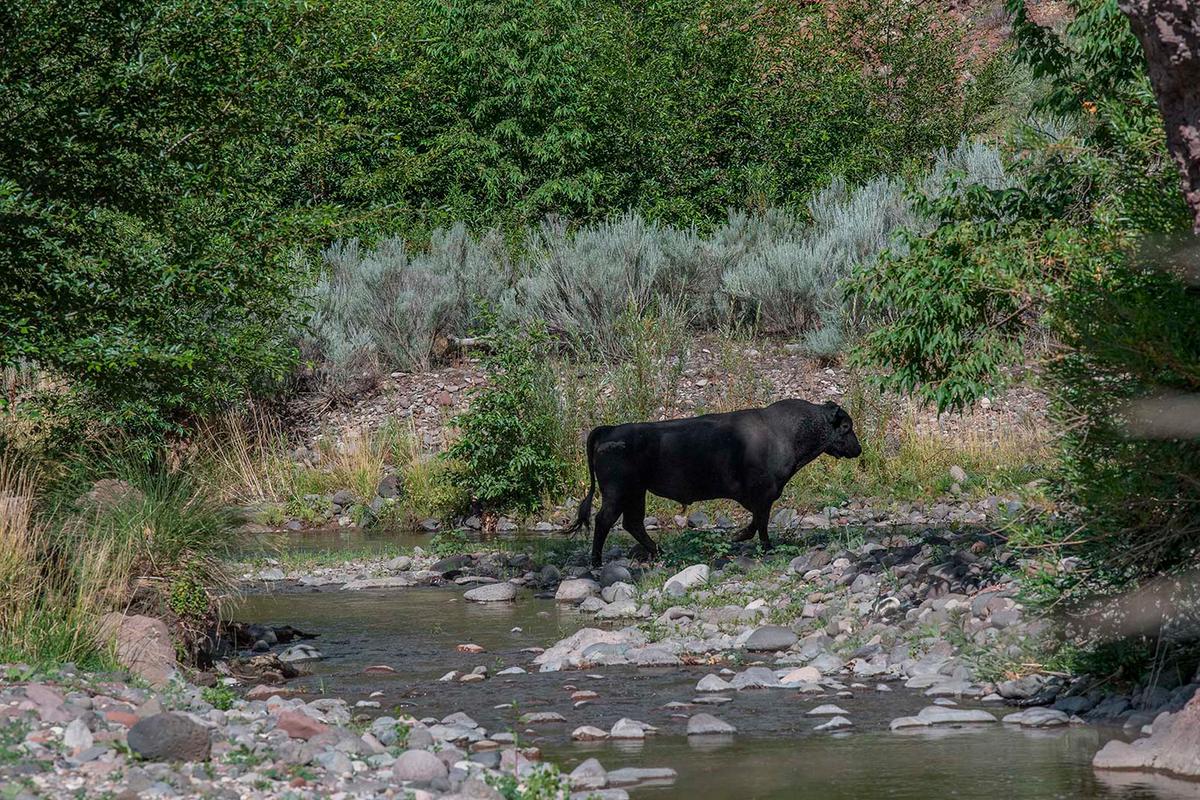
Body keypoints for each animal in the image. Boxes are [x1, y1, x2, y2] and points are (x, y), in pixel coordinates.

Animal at [565, 399, 863, 566]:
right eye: (846, 427)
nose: (858, 449)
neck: (786, 431)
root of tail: (609, 430)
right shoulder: (764, 493)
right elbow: (761, 522)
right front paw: (759, 543)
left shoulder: (762, 496)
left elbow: (758, 520)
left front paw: (741, 536)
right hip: (618, 492)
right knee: (605, 520)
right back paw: (597, 561)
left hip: (636, 493)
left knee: (632, 523)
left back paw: (659, 551)